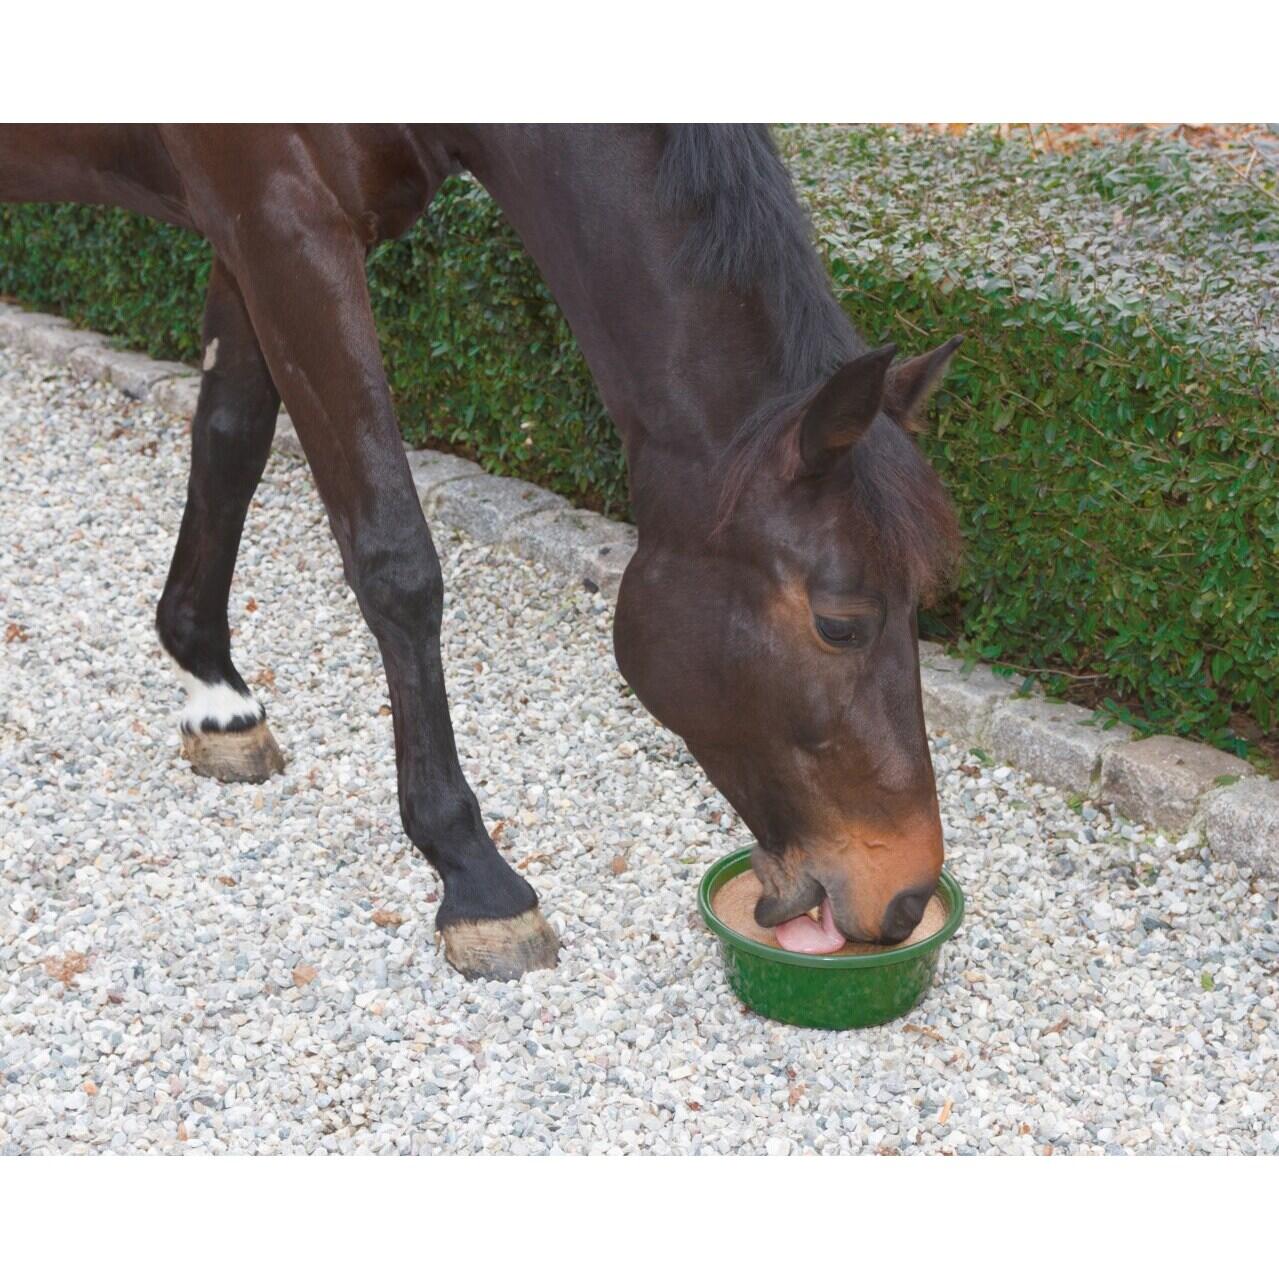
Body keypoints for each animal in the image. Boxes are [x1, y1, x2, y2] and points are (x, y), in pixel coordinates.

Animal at [0, 124, 962, 980]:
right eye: (839, 623)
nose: (905, 893)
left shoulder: (245, 236)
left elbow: (229, 440)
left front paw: (214, 690)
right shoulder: (285, 227)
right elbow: (395, 558)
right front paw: (475, 875)